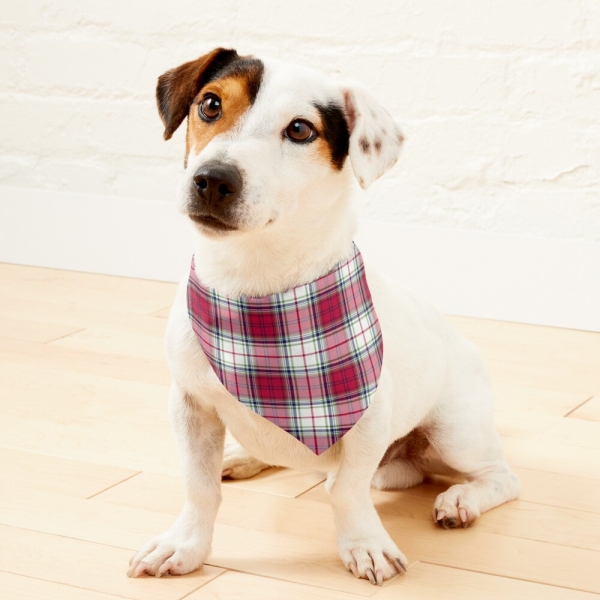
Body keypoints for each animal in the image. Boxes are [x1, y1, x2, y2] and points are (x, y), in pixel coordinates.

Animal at [127, 48, 520, 584]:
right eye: (210, 104)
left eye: (299, 130)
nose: (212, 179)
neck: (256, 287)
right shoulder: (190, 405)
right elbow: (199, 486)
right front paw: (185, 545)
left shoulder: (368, 419)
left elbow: (347, 490)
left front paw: (365, 544)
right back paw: (244, 456)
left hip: (456, 432)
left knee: (500, 477)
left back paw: (461, 499)